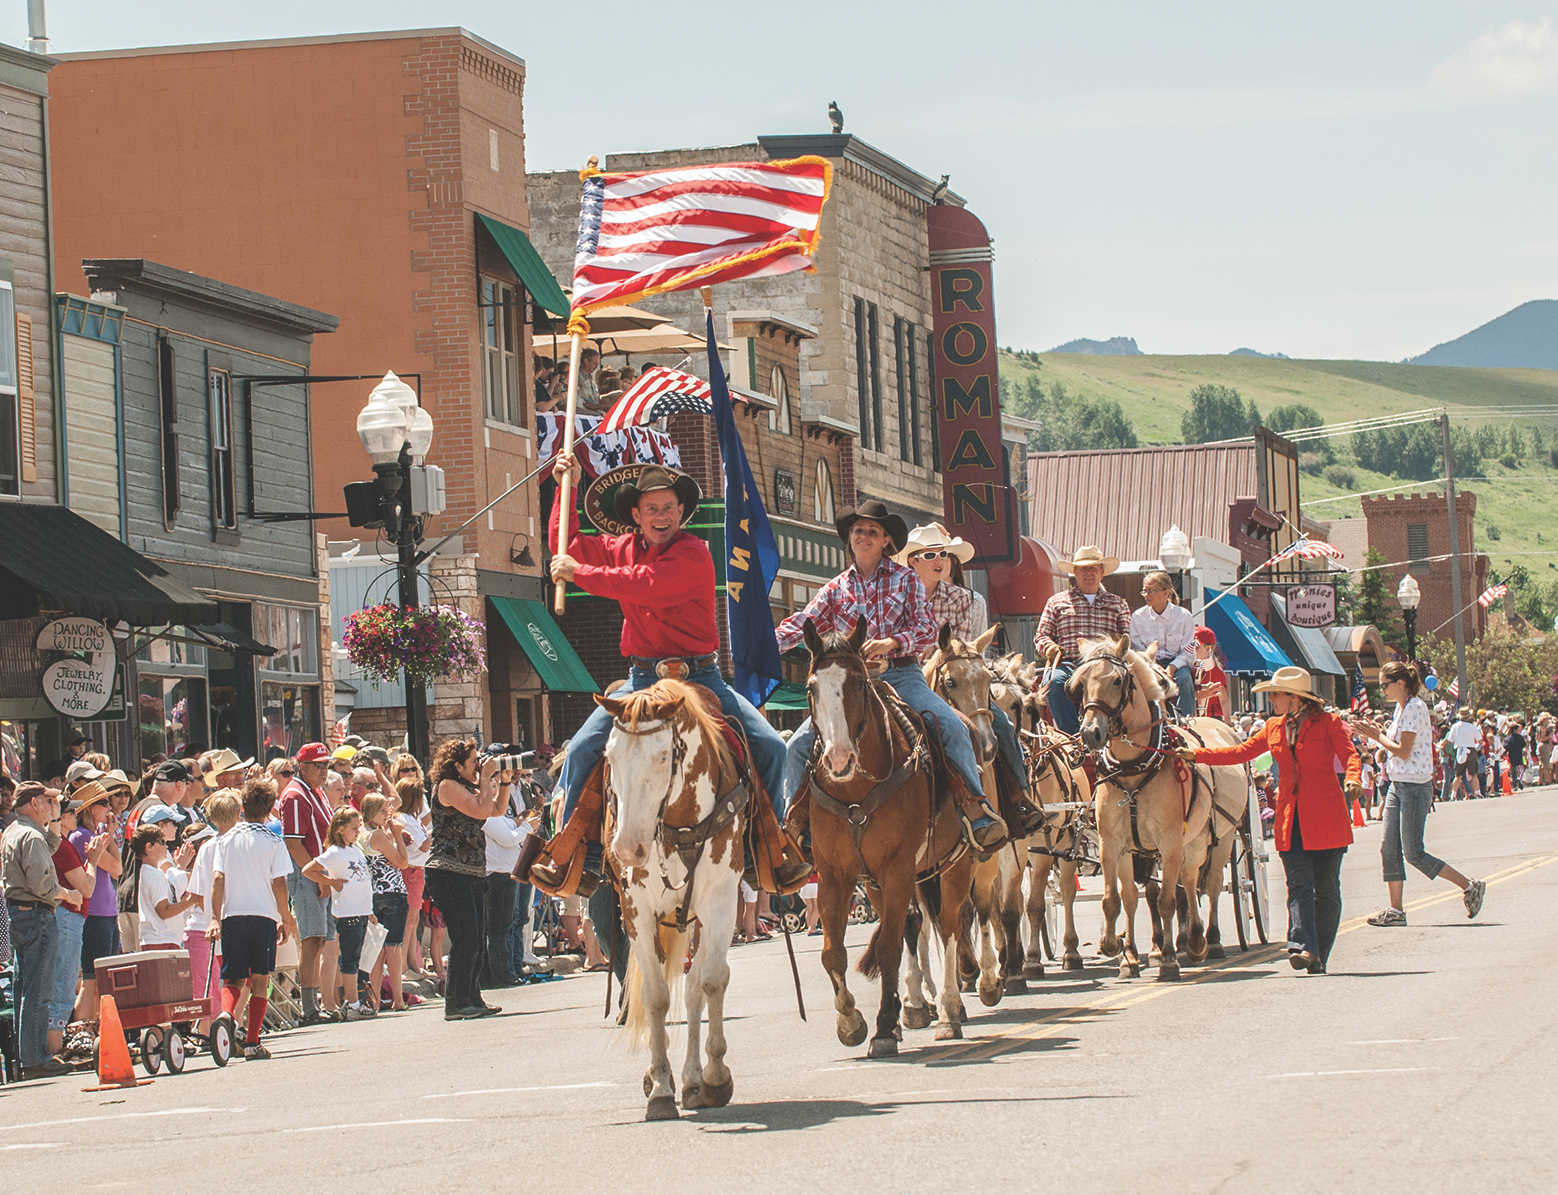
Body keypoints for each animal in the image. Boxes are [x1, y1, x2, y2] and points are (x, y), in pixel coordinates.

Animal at [598, 682, 744, 1121]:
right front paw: (660, 1087)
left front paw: (714, 1077)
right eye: (609, 756)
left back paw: (695, 1080)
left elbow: (710, 982)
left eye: (663, 756)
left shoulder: (720, 901)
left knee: (695, 988)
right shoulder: (636, 911)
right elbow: (655, 996)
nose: (627, 849)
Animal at [803, 623, 972, 1053]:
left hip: (955, 863)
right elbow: (832, 953)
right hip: (884, 881)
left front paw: (880, 1028)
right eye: (812, 687)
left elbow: (889, 947)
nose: (838, 759)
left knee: (950, 926)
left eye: (859, 683)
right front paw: (851, 1022)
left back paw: (949, 1012)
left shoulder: (898, 869)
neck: (855, 791)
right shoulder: (835, 875)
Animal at [1071, 635, 1240, 984]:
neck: (1133, 767)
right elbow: (1119, 899)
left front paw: (1169, 960)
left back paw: (1208, 941)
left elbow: (1165, 901)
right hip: (1190, 842)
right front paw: (1120, 951)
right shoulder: (1114, 844)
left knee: (1209, 883)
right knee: (1188, 881)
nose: (1091, 733)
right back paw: (1191, 941)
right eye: (1078, 685)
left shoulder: (1169, 841)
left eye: (1117, 680)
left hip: (1219, 836)